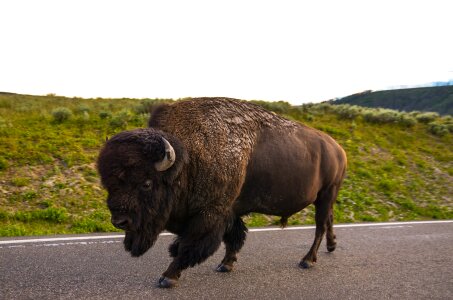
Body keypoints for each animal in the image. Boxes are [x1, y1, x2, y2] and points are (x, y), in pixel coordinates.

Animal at [98, 97, 346, 288]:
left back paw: (307, 260)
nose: (119, 221)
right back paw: (331, 246)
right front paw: (225, 264)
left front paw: (168, 277)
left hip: (326, 194)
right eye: (109, 183)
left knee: (320, 226)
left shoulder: (210, 214)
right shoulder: (230, 211)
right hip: (325, 197)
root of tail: (338, 149)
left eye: (147, 183)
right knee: (329, 219)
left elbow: (190, 245)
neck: (189, 159)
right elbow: (233, 237)